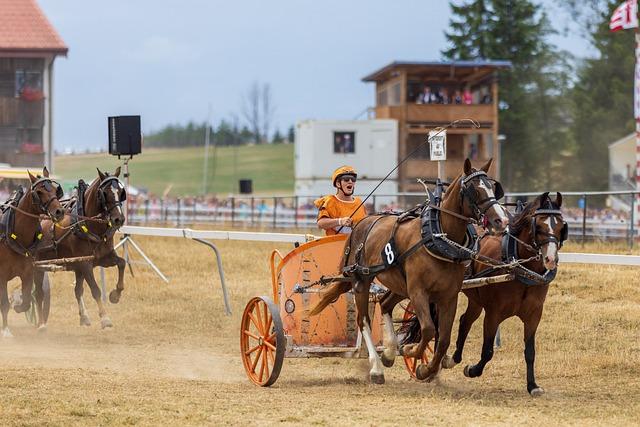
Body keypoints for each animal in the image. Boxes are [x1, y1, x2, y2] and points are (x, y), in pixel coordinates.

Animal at [0, 169, 64, 340]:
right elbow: (4, 303)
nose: (59, 211)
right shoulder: (1, 275)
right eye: (39, 192)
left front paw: (18, 305)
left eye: (55, 190)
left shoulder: (28, 272)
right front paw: (6, 330)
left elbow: (29, 299)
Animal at [34, 169, 127, 330]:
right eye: (105, 193)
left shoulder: (102, 258)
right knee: (38, 293)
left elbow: (122, 263)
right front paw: (105, 318)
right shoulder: (85, 264)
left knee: (76, 290)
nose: (118, 219)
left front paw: (115, 295)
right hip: (37, 266)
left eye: (121, 192)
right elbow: (95, 290)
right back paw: (41, 323)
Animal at [310, 160, 510, 384]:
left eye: (493, 187)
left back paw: (389, 353)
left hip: (399, 284)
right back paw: (376, 368)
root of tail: (360, 225)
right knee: (364, 320)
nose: (502, 221)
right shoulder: (418, 292)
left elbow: (444, 339)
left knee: (385, 304)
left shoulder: (449, 296)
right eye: (474, 189)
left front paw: (426, 369)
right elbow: (429, 329)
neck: (436, 237)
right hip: (362, 280)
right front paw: (410, 350)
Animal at [442, 192, 568, 396]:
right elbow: (487, 351)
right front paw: (473, 370)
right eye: (539, 225)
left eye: (560, 225)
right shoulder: (493, 314)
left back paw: (452, 359)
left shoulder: (534, 316)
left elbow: (530, 352)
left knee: (465, 321)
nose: (550, 259)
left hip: (476, 300)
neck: (519, 268)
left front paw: (532, 385)